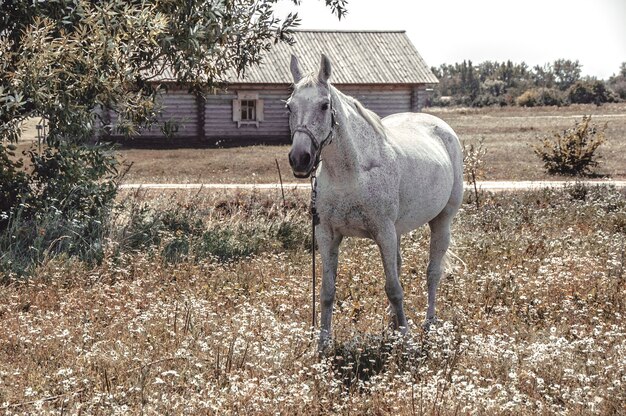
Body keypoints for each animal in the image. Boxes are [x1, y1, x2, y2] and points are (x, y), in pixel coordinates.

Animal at [288, 53, 464, 350]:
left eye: (324, 105)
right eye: (289, 106)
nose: (299, 159)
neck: (351, 174)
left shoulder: (383, 232)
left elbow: (393, 289)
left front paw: (406, 340)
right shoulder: (327, 235)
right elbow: (327, 291)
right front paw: (322, 344)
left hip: (441, 222)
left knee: (433, 272)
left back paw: (428, 324)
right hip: (398, 231)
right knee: (400, 266)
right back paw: (394, 323)